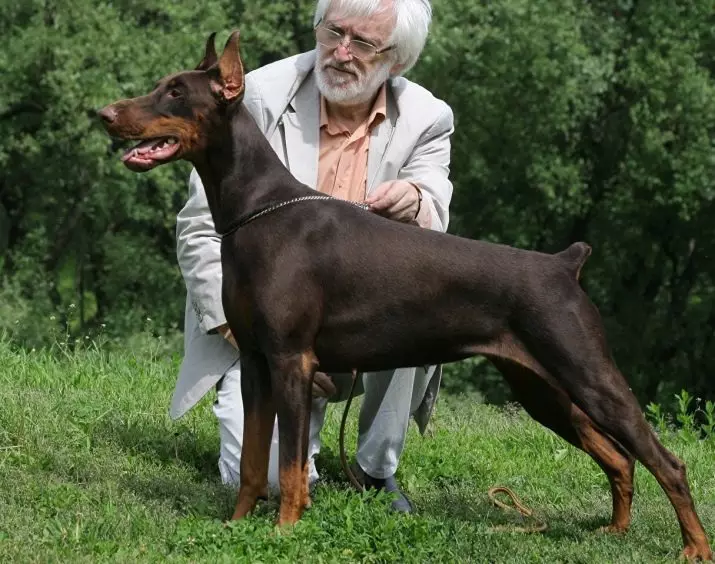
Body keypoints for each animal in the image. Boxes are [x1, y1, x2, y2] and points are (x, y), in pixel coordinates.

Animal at [98, 34, 712, 560]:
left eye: (177, 92)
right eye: (161, 84)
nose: (105, 113)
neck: (257, 208)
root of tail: (565, 264)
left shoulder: (291, 360)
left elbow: (290, 466)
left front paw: (284, 532)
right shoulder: (255, 361)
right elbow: (254, 461)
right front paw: (236, 525)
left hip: (588, 373)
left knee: (666, 461)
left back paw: (694, 548)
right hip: (544, 387)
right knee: (620, 458)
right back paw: (614, 531)